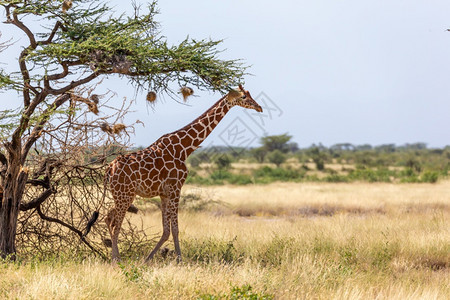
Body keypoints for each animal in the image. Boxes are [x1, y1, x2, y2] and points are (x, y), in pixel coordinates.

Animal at [96, 84, 262, 262]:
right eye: (244, 97)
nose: (259, 107)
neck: (184, 148)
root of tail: (109, 169)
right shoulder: (176, 188)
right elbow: (175, 228)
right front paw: (180, 260)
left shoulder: (164, 193)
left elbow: (166, 230)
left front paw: (148, 259)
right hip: (125, 194)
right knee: (116, 224)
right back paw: (116, 260)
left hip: (121, 195)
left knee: (108, 218)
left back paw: (115, 256)